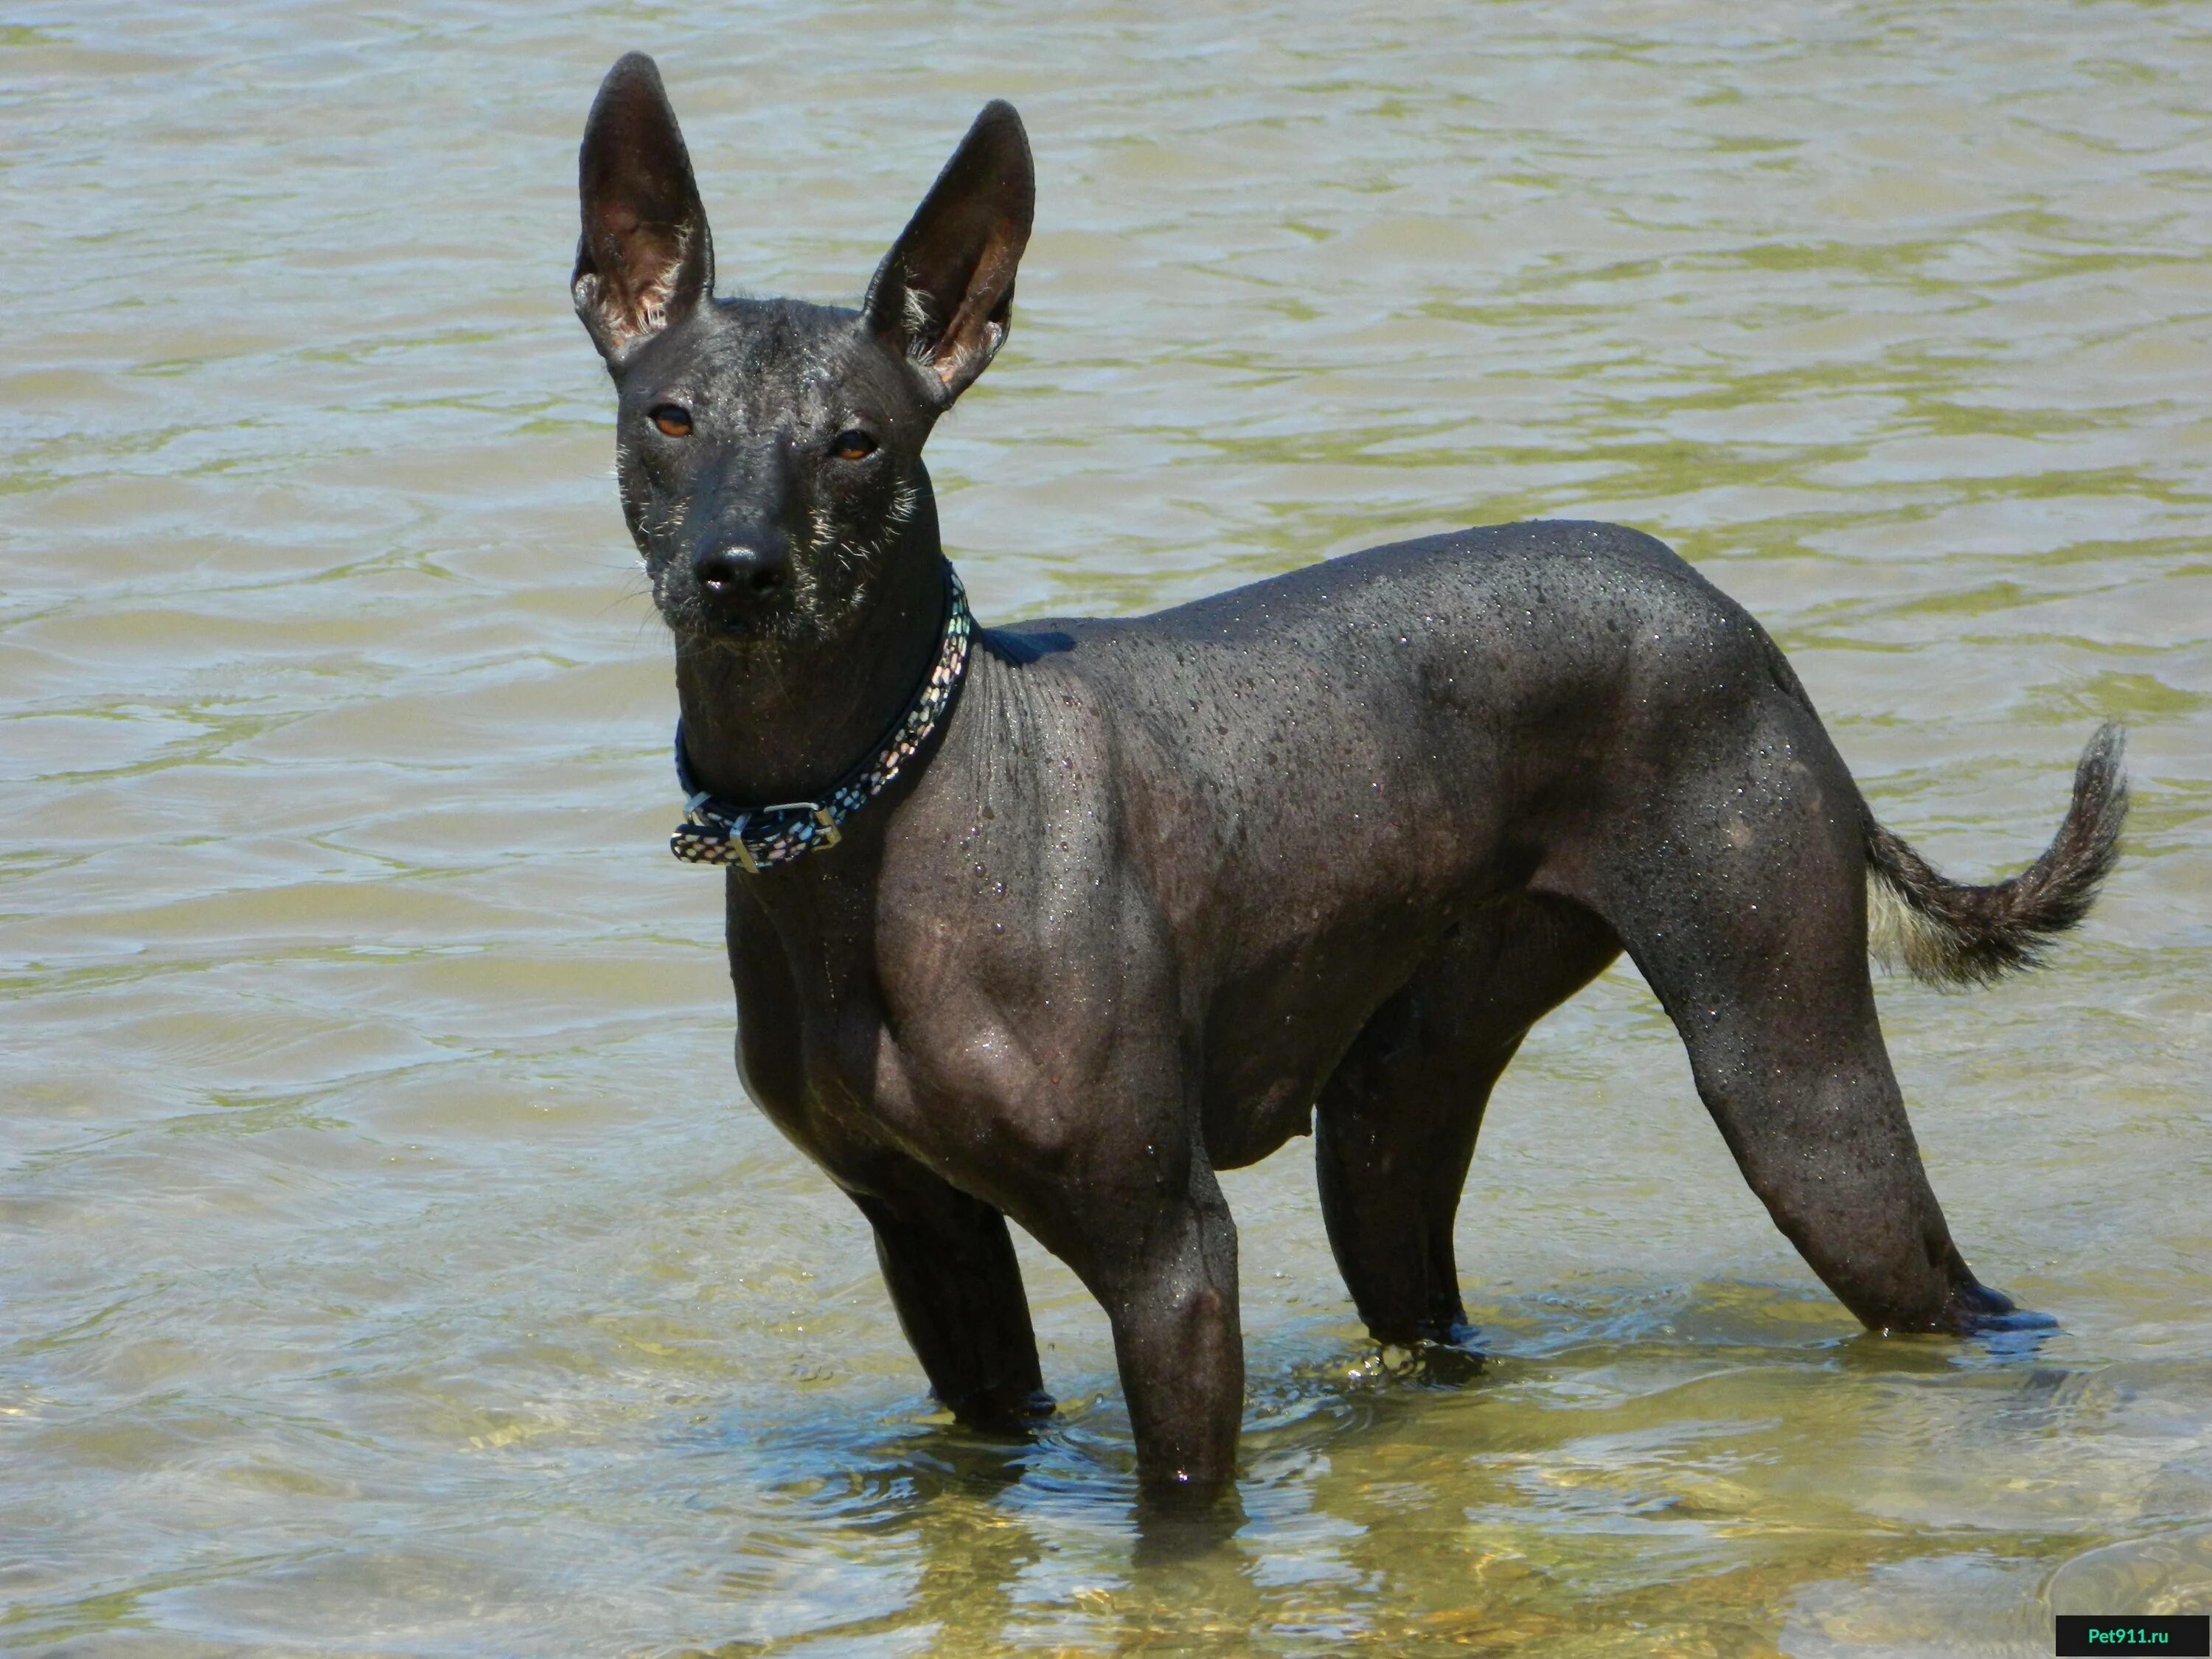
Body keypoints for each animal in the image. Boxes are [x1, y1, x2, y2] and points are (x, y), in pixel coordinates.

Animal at [571, 55, 2124, 1504]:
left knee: (1967, 1302)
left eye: (856, 443)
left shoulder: (1169, 1257)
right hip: (1389, 1118)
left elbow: (1181, 1528)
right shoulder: (930, 1240)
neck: (863, 808)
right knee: (1437, 1322)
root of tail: (1744, 628)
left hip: (1794, 1091)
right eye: (670, 418)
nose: (738, 571)